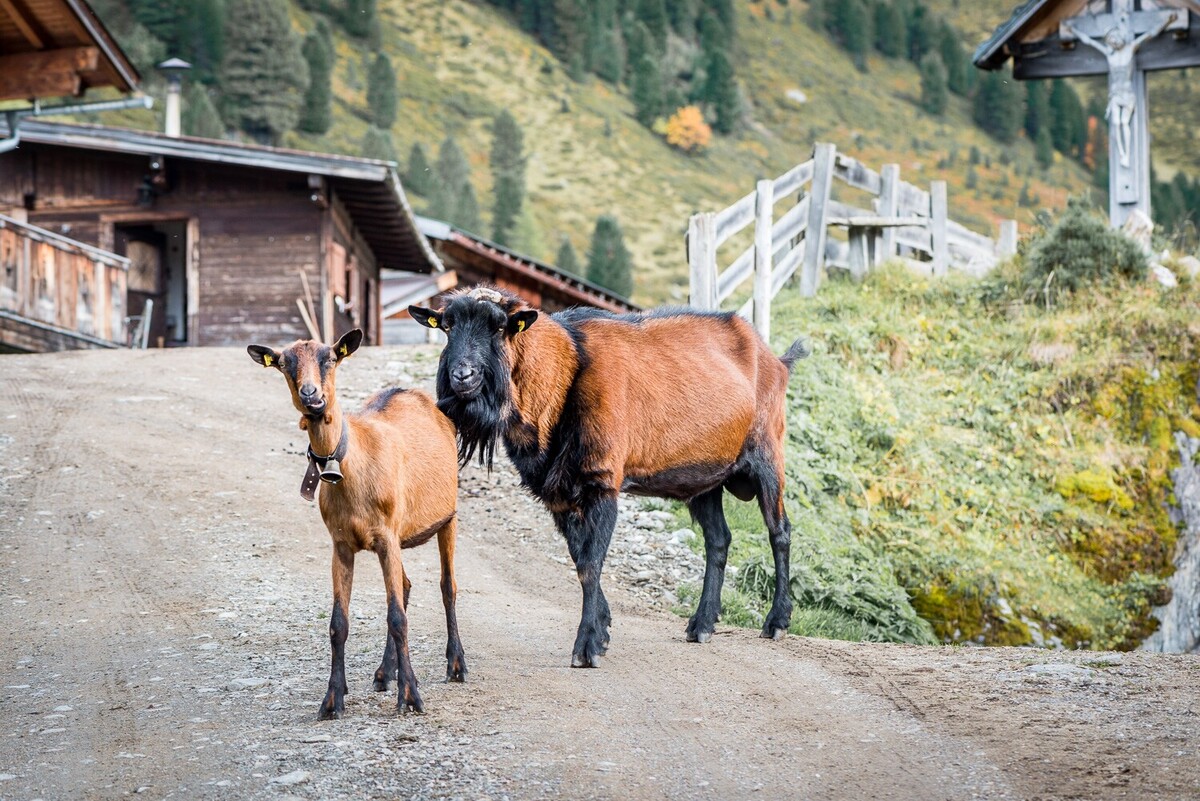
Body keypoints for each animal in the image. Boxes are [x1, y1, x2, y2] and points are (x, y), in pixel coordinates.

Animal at [247, 329, 465, 716]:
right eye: (285, 364)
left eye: (330, 359)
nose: (311, 396)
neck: (353, 462)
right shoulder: (342, 544)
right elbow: (338, 623)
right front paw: (333, 699)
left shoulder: (387, 535)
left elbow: (397, 618)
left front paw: (411, 697)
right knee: (406, 585)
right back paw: (384, 673)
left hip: (447, 516)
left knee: (447, 586)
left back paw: (456, 664)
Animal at [408, 287, 807, 668]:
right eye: (447, 326)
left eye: (500, 327)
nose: (463, 376)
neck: (565, 376)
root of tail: (776, 361)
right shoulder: (558, 492)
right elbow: (579, 558)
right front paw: (602, 628)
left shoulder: (602, 482)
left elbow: (589, 564)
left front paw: (587, 647)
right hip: (703, 478)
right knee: (719, 540)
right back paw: (702, 624)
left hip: (768, 456)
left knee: (780, 532)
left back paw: (776, 622)